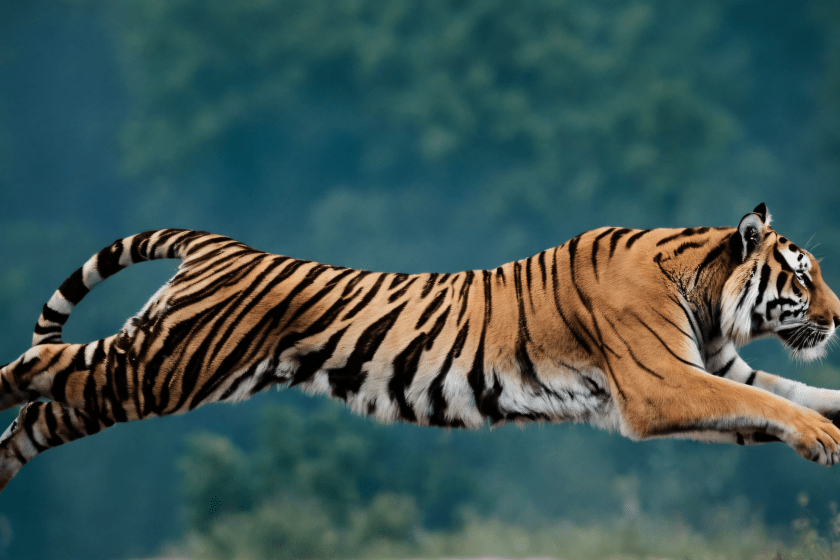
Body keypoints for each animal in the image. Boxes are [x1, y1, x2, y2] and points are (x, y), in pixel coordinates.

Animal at [1, 203, 840, 493]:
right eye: (805, 274)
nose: (837, 317)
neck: (705, 295)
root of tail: (222, 246)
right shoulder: (662, 383)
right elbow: (766, 402)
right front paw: (821, 438)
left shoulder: (712, 370)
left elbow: (780, 396)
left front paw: (824, 423)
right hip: (163, 369)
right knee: (35, 367)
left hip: (147, 376)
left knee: (42, 415)